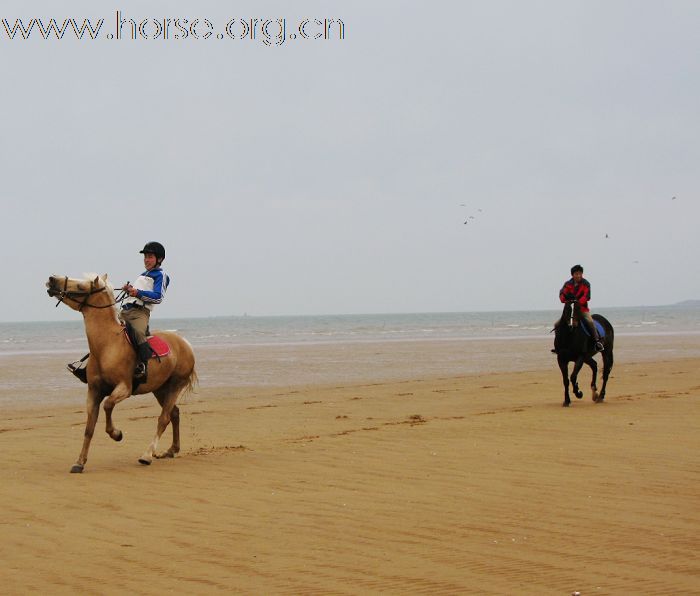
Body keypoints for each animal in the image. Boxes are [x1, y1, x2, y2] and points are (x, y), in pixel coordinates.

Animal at [45, 272, 197, 472]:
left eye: (80, 286)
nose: (52, 279)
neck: (107, 345)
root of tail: (185, 344)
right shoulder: (93, 391)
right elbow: (89, 428)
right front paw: (79, 462)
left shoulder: (124, 388)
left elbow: (108, 405)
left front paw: (117, 434)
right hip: (160, 389)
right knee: (174, 414)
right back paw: (171, 450)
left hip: (174, 386)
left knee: (163, 419)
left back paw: (147, 455)